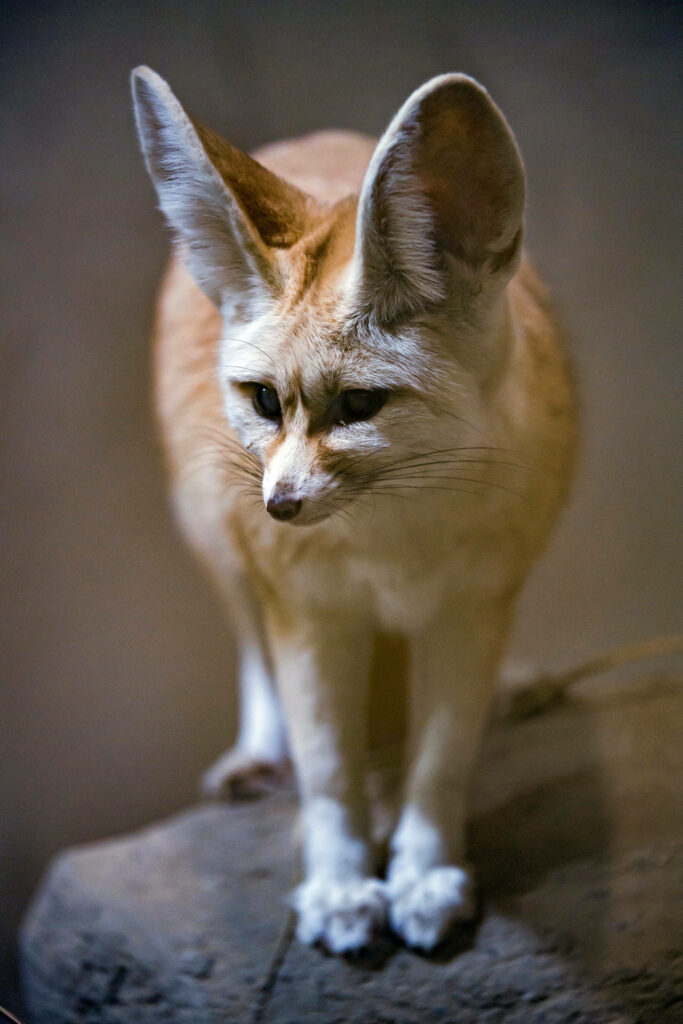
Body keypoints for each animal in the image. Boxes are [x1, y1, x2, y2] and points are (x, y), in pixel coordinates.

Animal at [131, 66, 577, 954]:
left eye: (361, 406)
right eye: (264, 401)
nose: (280, 504)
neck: (392, 546)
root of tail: (312, 139)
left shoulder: (472, 605)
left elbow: (441, 756)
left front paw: (424, 871)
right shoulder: (308, 612)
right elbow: (329, 764)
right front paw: (339, 884)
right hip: (213, 535)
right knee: (250, 648)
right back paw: (257, 752)